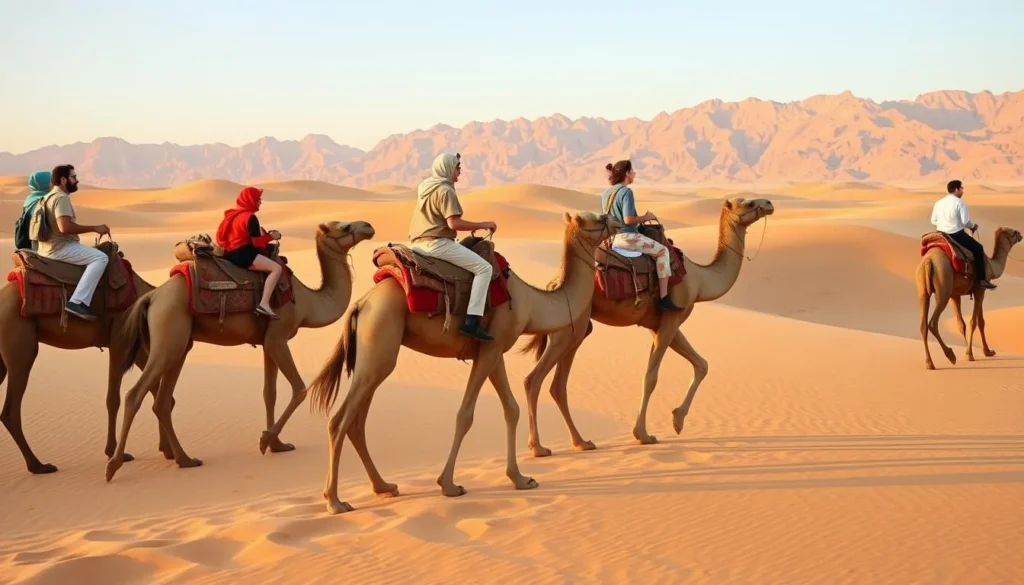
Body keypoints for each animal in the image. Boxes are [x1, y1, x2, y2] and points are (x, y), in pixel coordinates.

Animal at [0, 256, 168, 474]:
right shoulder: (120, 339)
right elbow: (113, 399)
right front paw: (114, 453)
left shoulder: (137, 347)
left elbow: (155, 392)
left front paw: (166, 448)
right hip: (21, 348)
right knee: (10, 411)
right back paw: (38, 466)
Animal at [104, 220, 375, 482]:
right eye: (344, 227)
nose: (368, 226)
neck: (307, 303)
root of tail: (152, 296)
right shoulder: (279, 336)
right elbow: (299, 389)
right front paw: (265, 440)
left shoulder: (268, 343)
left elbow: (269, 393)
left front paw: (277, 444)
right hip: (168, 335)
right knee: (135, 394)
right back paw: (114, 465)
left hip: (180, 344)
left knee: (161, 401)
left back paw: (185, 459)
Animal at [306, 211, 621, 515]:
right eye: (595, 219)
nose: (617, 220)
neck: (530, 303)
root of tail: (361, 304)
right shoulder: (492, 348)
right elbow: (465, 414)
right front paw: (449, 484)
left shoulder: (493, 349)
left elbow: (511, 408)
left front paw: (520, 478)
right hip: (379, 346)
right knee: (340, 420)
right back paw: (335, 502)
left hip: (373, 358)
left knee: (357, 422)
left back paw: (383, 486)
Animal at [519, 197, 775, 457]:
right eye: (748, 202)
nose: (768, 203)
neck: (700, 281)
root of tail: (553, 285)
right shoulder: (672, 318)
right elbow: (651, 377)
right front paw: (643, 434)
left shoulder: (660, 324)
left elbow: (701, 364)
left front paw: (677, 420)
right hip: (570, 331)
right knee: (534, 379)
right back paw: (538, 447)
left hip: (575, 332)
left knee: (558, 386)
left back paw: (581, 442)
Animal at [916, 226, 1022, 370]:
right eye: (1012, 232)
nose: (1021, 234)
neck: (991, 265)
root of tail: (929, 261)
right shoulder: (980, 289)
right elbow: (974, 322)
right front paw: (969, 354)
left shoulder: (957, 294)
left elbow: (968, 323)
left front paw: (987, 351)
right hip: (943, 289)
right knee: (932, 323)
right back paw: (950, 356)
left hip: (923, 292)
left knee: (923, 326)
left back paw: (929, 363)